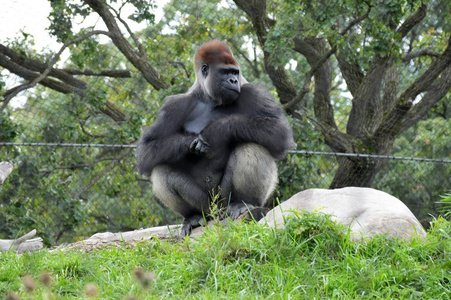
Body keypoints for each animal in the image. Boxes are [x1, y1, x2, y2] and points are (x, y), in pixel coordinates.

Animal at [136, 40, 294, 237]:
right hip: (208, 208)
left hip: (224, 202)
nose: (233, 81)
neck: (209, 98)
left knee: (252, 145)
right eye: (225, 72)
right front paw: (190, 142)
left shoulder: (254, 90)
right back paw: (193, 216)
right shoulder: (175, 105)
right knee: (161, 168)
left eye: (235, 72)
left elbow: (278, 130)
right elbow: (147, 150)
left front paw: (216, 130)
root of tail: (216, 212)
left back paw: (243, 202)